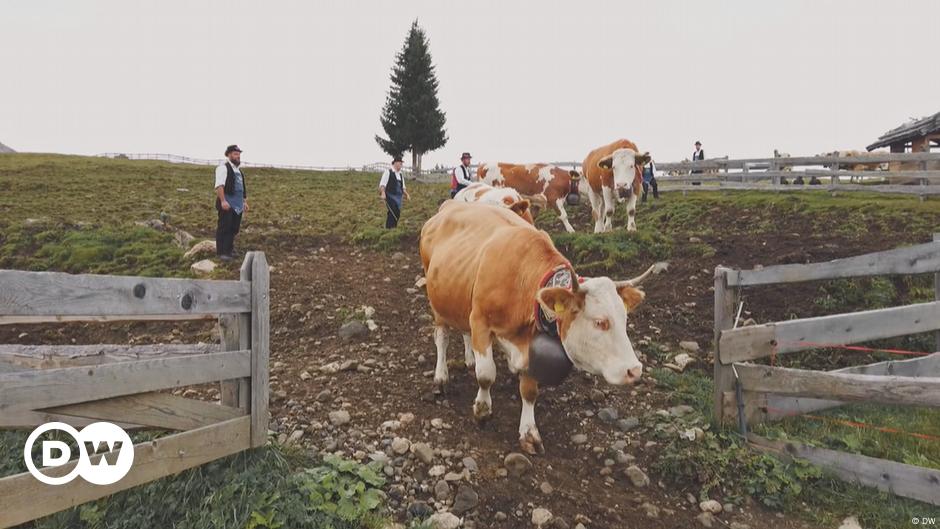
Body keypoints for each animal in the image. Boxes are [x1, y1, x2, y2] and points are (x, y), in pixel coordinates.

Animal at [422, 202, 664, 454]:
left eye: (625, 319)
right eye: (600, 322)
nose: (634, 370)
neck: (521, 281)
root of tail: (450, 205)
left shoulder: (530, 339)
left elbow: (529, 390)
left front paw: (529, 432)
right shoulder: (480, 320)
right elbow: (486, 374)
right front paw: (482, 411)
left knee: (463, 331)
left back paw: (469, 358)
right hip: (436, 301)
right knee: (442, 337)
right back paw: (441, 376)